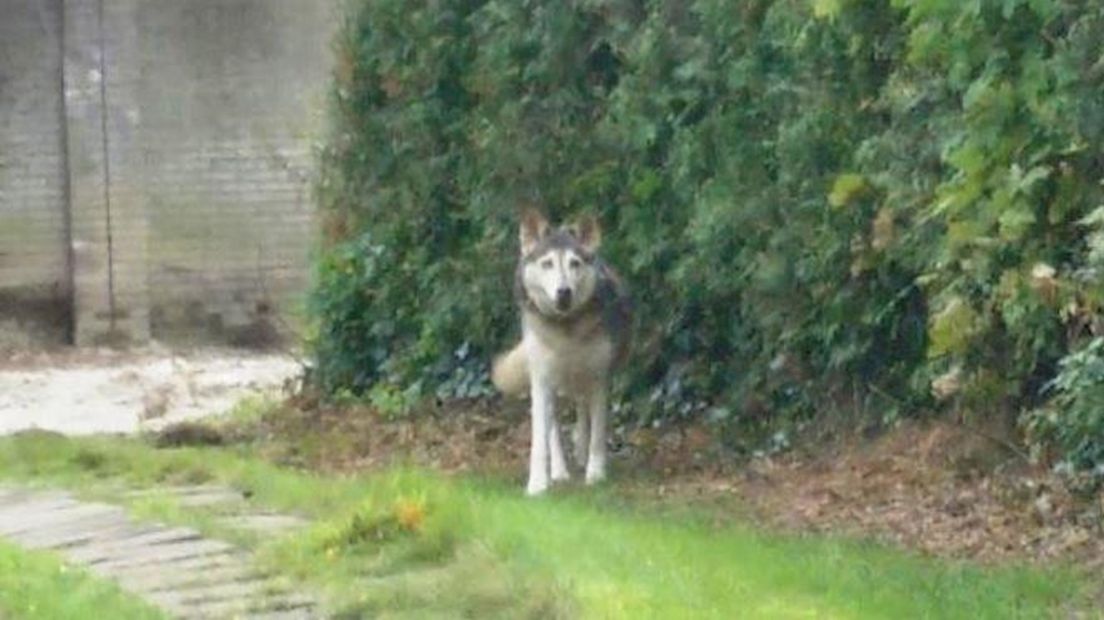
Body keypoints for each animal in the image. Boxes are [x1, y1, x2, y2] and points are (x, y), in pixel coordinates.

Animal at [490, 209, 631, 494]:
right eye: (547, 264)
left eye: (574, 263)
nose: (563, 292)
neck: (567, 331)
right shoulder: (542, 380)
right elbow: (541, 438)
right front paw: (537, 484)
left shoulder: (599, 377)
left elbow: (597, 432)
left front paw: (595, 473)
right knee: (554, 425)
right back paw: (560, 470)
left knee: (582, 411)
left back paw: (580, 453)